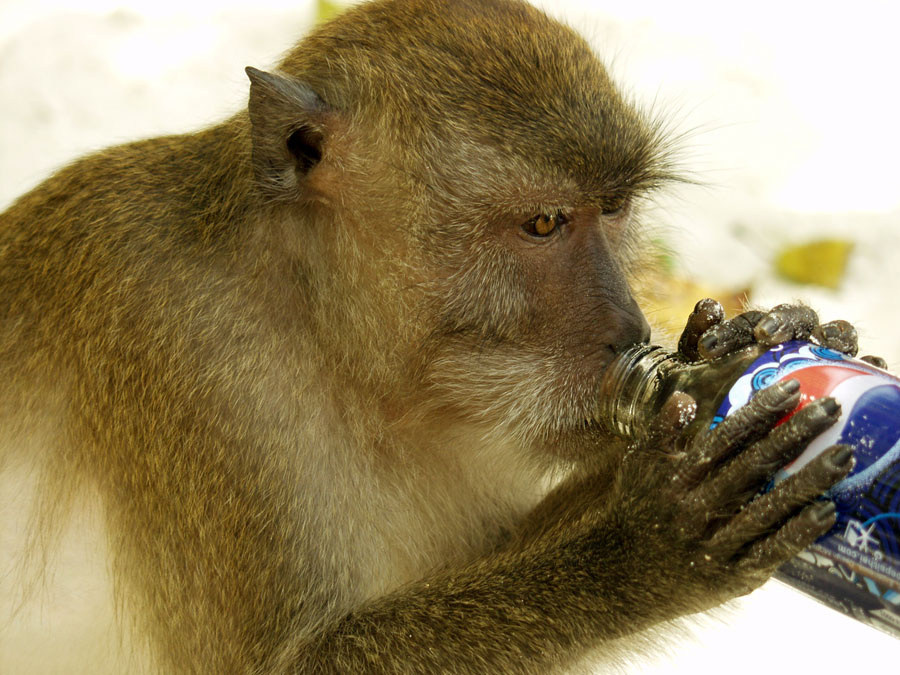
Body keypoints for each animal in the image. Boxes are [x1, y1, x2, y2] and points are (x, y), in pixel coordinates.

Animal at [0, 0, 868, 672]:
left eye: (614, 208)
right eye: (545, 222)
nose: (627, 326)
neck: (326, 334)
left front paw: (771, 345)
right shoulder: (188, 356)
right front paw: (646, 543)